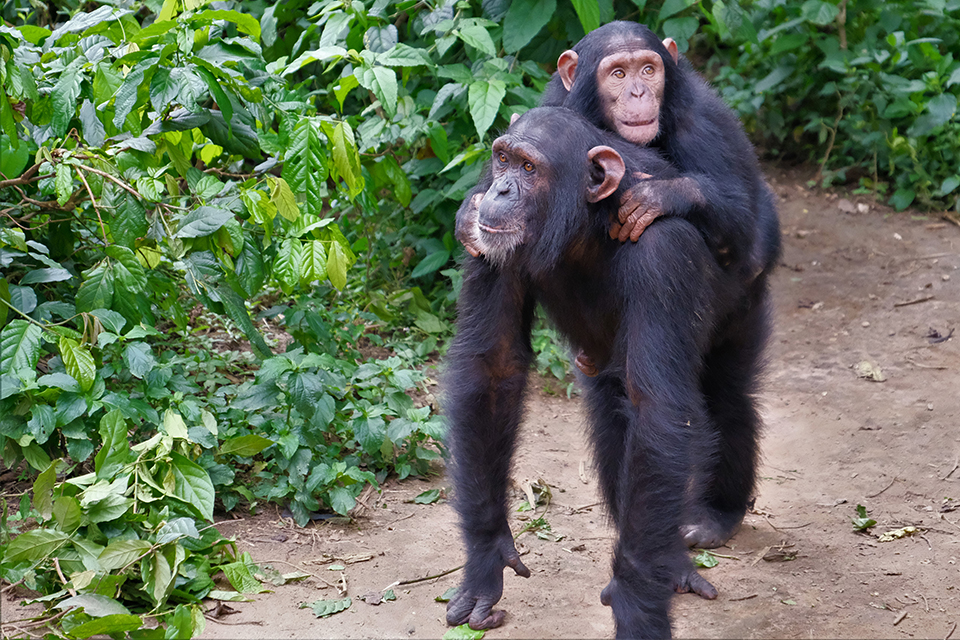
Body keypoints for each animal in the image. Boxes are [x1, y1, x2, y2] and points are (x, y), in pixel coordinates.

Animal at [440, 107, 764, 636]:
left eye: (529, 168)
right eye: (502, 159)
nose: (501, 191)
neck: (586, 225)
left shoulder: (664, 256)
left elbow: (657, 411)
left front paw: (637, 606)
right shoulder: (485, 241)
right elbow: (493, 365)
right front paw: (486, 559)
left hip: (746, 301)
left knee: (727, 399)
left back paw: (712, 522)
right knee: (614, 423)